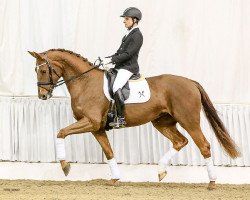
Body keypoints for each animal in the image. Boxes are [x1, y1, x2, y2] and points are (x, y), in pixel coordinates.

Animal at [28, 48, 239, 189]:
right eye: (36, 71)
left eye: (44, 71)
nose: (42, 96)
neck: (85, 83)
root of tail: (191, 82)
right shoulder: (98, 128)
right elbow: (109, 152)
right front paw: (115, 178)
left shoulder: (91, 122)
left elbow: (61, 132)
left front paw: (65, 166)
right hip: (162, 122)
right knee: (180, 141)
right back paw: (161, 171)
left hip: (189, 121)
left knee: (204, 146)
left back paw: (211, 182)